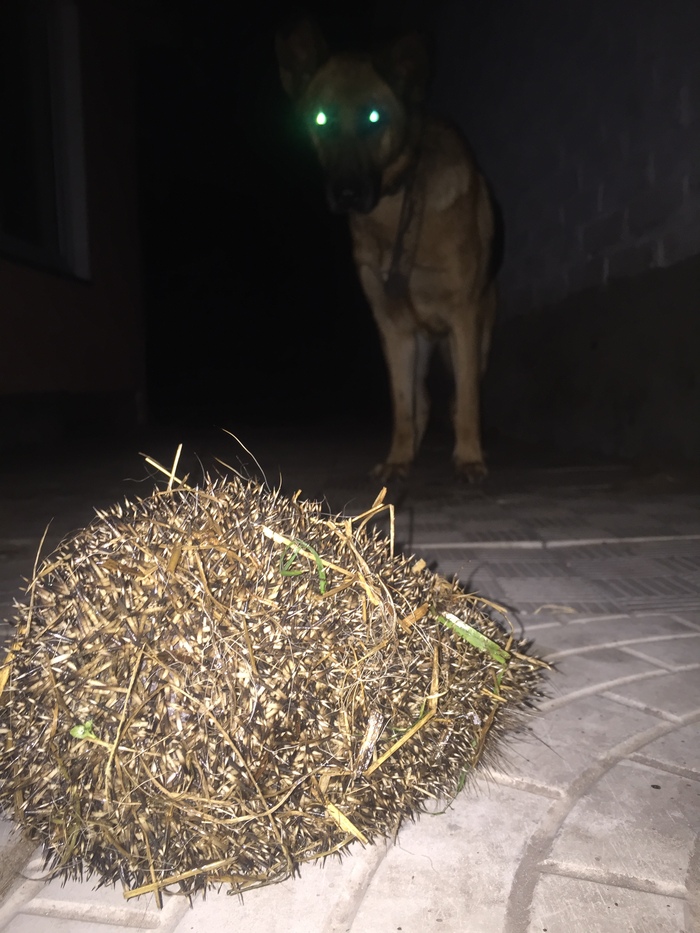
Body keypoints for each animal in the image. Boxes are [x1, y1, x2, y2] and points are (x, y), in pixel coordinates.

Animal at [276, 17, 494, 480]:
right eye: (321, 119)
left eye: (374, 116)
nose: (346, 193)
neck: (399, 208)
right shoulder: (392, 326)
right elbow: (402, 404)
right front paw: (398, 459)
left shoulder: (464, 317)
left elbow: (467, 398)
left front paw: (469, 457)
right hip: (419, 341)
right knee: (422, 400)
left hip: (477, 336)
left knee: (458, 394)